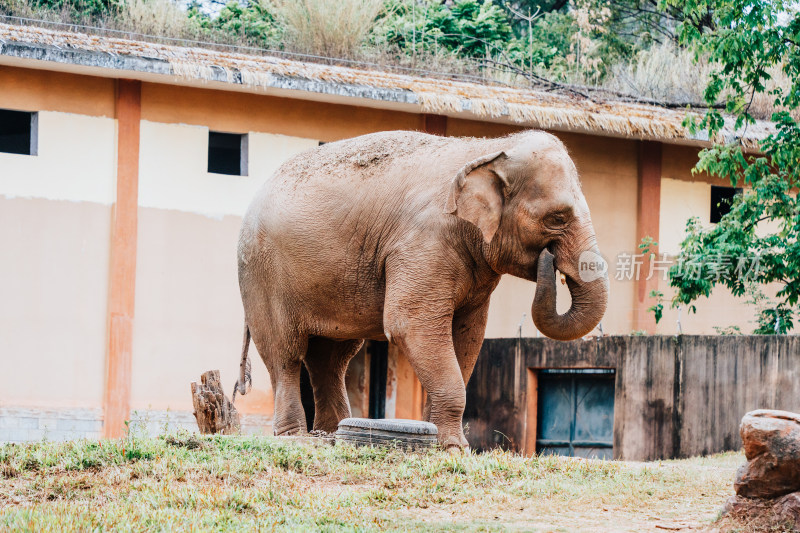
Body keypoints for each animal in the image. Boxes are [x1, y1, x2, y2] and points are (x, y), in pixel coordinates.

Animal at [234, 129, 608, 448]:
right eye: (557, 219)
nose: (549, 260)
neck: (490, 147)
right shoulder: (423, 243)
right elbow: (409, 325)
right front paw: (454, 447)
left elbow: (468, 335)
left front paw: (448, 443)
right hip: (262, 275)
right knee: (286, 353)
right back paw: (294, 436)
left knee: (331, 357)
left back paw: (330, 434)